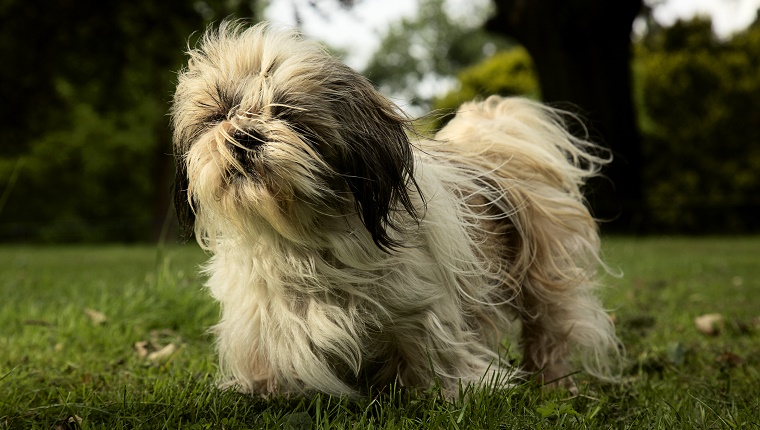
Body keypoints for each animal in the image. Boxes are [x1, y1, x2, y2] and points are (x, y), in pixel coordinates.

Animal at [169, 20, 620, 396]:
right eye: (219, 114)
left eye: (289, 115)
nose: (244, 134)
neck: (300, 237)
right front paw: (266, 391)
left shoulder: (424, 307)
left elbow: (432, 351)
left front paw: (446, 392)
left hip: (543, 278)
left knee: (549, 330)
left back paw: (552, 383)